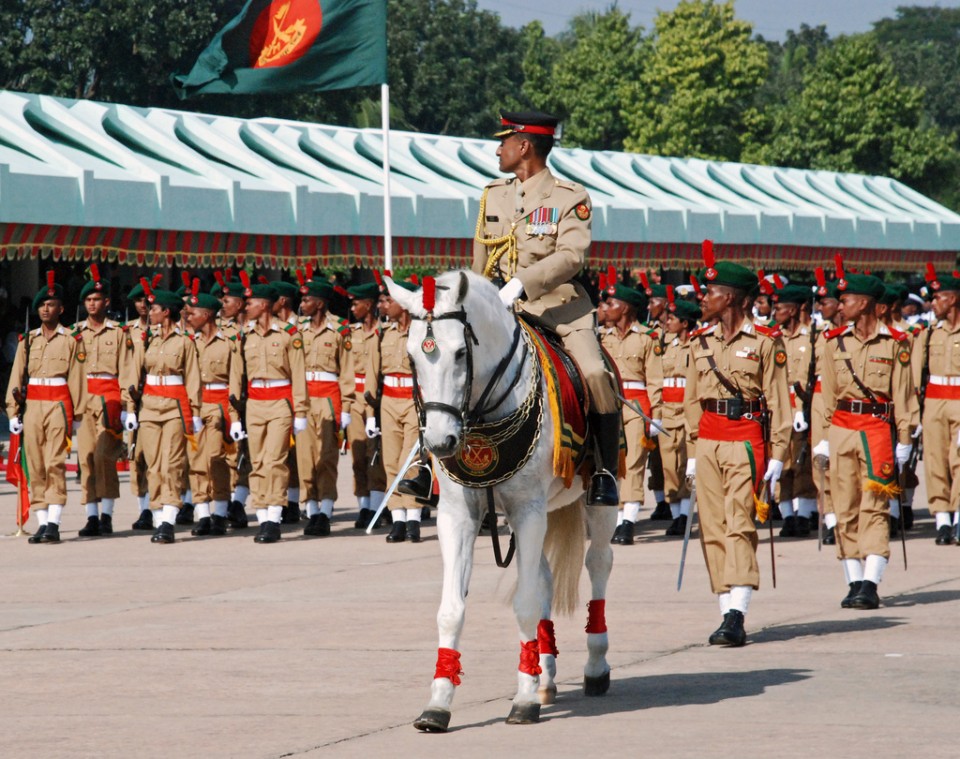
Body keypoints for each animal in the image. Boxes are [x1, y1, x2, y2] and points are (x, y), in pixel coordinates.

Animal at [386, 272, 620, 732]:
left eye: (461, 352)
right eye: (412, 357)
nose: (439, 442)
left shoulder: (528, 510)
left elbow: (525, 603)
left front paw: (523, 699)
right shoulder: (459, 515)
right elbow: (451, 609)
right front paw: (438, 703)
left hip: (594, 501)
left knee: (598, 565)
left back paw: (595, 667)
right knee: (545, 578)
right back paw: (545, 675)